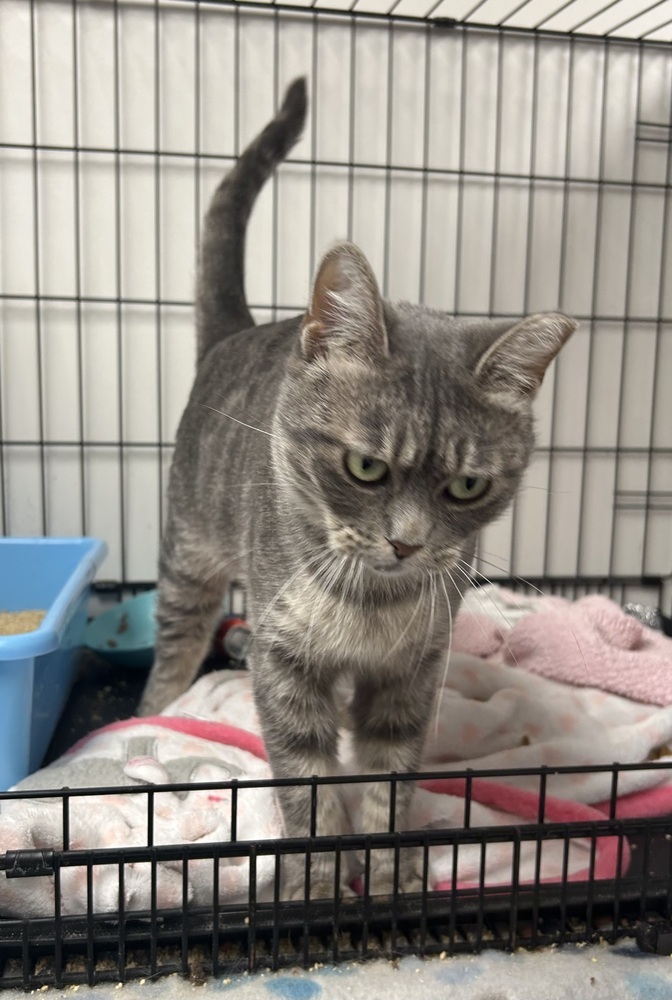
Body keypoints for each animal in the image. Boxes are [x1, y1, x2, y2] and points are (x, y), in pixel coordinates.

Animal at [138, 74, 576, 896]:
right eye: (366, 468)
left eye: (466, 486)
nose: (406, 545)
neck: (370, 606)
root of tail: (236, 332)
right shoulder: (285, 666)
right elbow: (308, 782)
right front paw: (315, 885)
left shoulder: (413, 676)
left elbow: (388, 778)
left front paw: (391, 875)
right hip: (189, 557)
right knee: (174, 647)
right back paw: (156, 709)